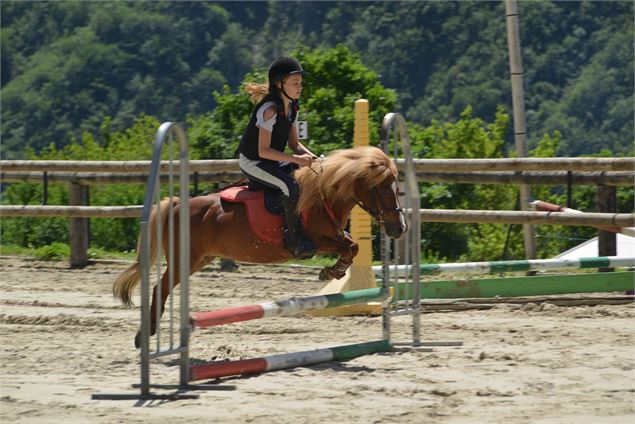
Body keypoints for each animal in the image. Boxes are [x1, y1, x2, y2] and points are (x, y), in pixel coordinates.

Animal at [113, 146, 408, 348]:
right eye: (384, 190)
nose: (400, 228)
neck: (323, 197)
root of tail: (175, 205)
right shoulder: (313, 241)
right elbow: (348, 247)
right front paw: (331, 272)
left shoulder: (334, 235)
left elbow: (352, 246)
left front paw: (333, 271)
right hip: (182, 258)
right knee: (159, 288)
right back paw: (145, 334)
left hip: (198, 259)